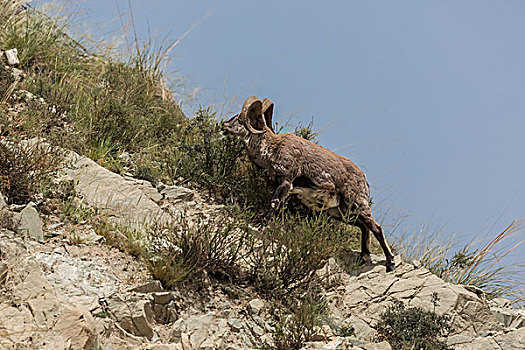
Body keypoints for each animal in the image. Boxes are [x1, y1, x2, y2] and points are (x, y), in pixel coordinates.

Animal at [221, 97, 392, 272]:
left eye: (240, 118)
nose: (223, 126)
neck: (272, 148)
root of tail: (364, 179)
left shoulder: (287, 180)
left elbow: (274, 203)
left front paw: (263, 226)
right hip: (341, 212)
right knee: (364, 227)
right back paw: (363, 257)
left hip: (358, 204)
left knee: (376, 228)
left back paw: (389, 261)